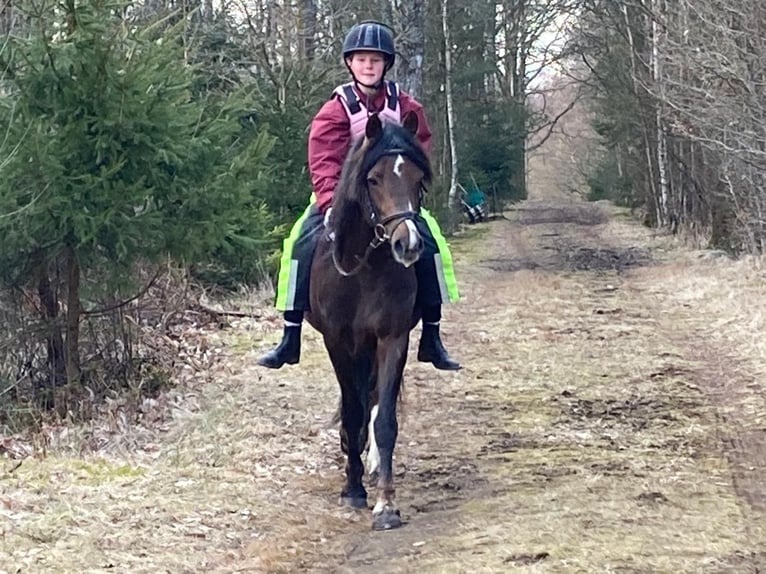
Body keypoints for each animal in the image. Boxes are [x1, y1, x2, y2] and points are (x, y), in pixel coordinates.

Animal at [308, 110, 432, 532]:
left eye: (417, 177)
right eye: (373, 178)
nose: (407, 244)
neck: (365, 267)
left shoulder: (392, 337)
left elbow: (385, 421)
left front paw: (386, 505)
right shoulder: (337, 342)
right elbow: (351, 413)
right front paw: (353, 489)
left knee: (374, 400)